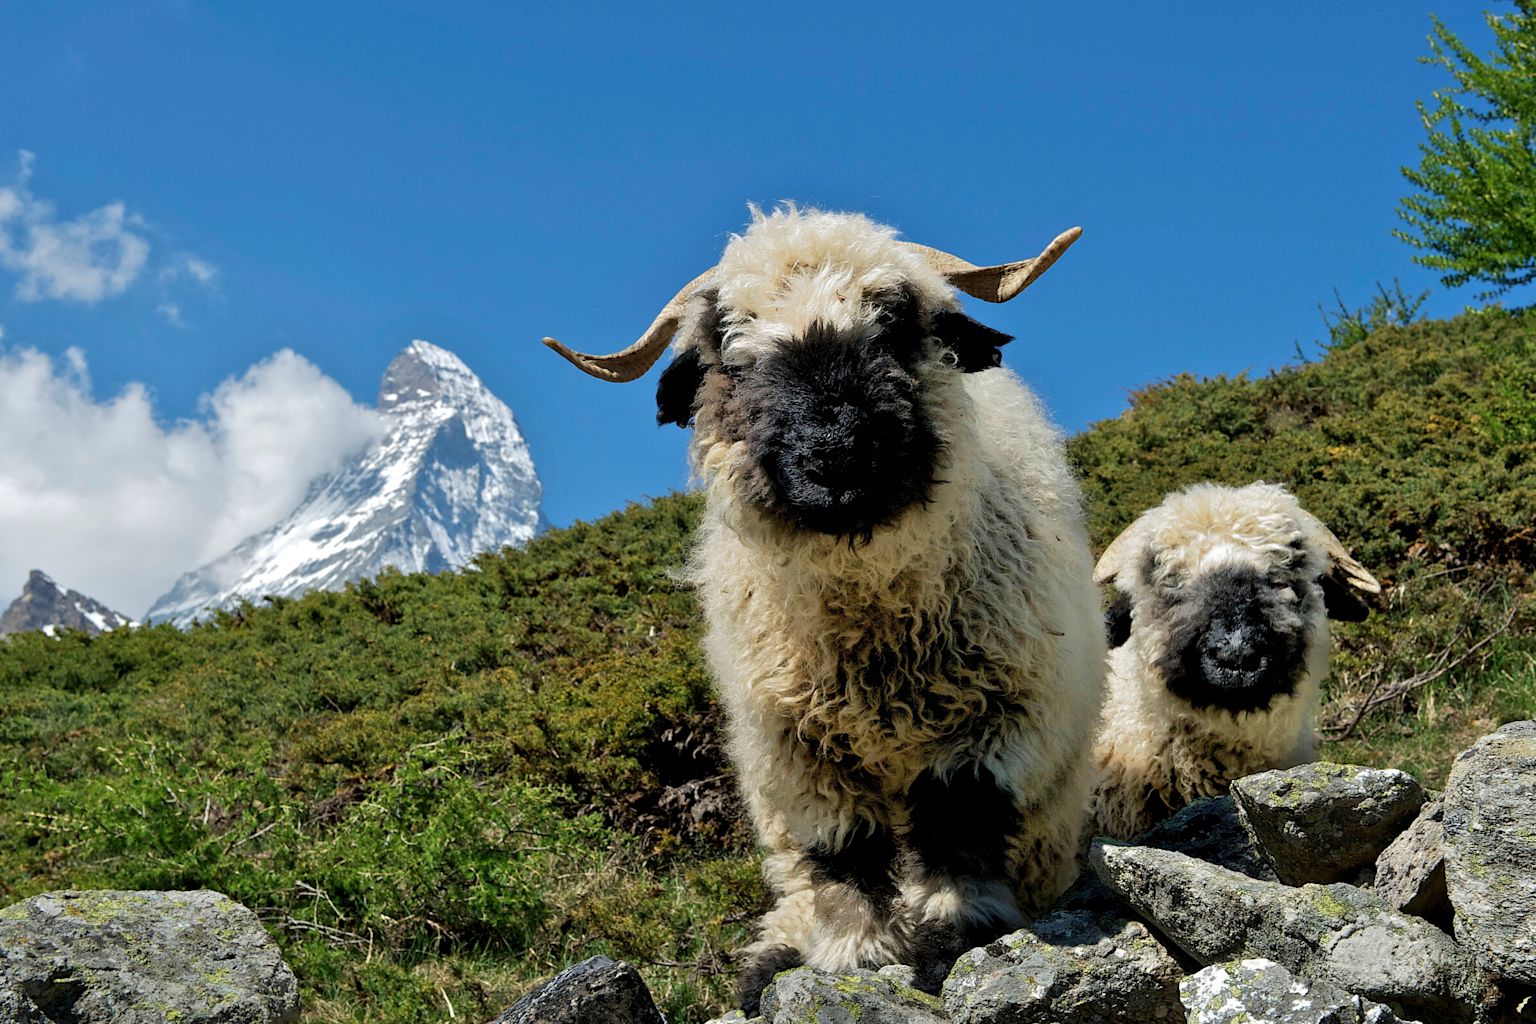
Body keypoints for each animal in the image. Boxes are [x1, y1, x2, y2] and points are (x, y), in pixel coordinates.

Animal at [546, 202, 1112, 1007]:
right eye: (731, 357)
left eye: (896, 328)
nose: (837, 456)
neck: (875, 642)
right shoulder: (795, 750)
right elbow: (843, 850)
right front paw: (851, 956)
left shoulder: (1002, 722)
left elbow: (958, 822)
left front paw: (952, 937)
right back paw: (772, 959)